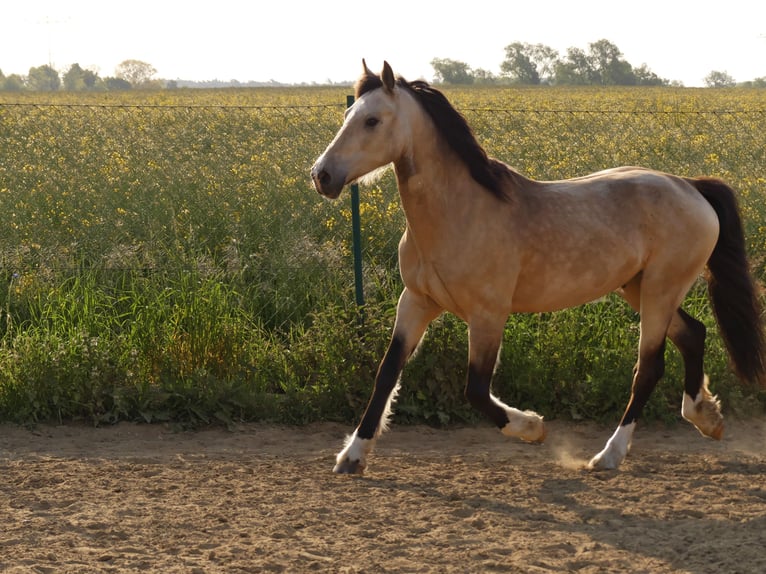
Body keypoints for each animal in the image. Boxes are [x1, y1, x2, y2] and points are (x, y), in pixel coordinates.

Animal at [310, 60, 766, 474]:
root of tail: (691, 186)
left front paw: (532, 427)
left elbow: (476, 390)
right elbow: (387, 373)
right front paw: (351, 457)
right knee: (693, 334)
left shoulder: (488, 314)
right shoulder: (417, 301)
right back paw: (707, 418)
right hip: (640, 288)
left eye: (372, 120)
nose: (322, 175)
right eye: (348, 116)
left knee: (649, 368)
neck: (459, 213)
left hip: (660, 289)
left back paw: (608, 456)